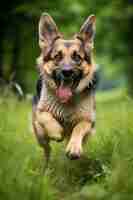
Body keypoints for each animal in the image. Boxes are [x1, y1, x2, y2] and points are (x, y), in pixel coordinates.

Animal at [32, 12, 96, 166]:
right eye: (57, 57)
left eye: (77, 57)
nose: (67, 72)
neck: (67, 102)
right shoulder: (40, 112)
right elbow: (46, 116)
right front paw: (56, 131)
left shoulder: (88, 121)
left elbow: (79, 127)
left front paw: (74, 148)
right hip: (40, 136)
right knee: (47, 149)